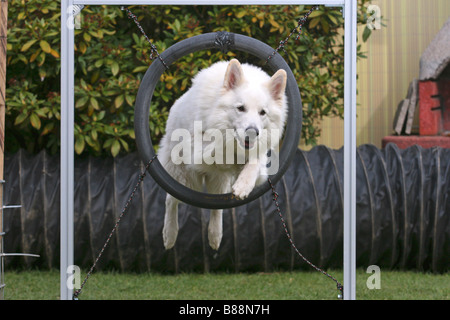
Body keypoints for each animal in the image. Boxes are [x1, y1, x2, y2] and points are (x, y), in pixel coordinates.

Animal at [158, 58, 288, 251]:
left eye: (262, 112)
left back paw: (215, 235)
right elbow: (218, 146)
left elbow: (255, 162)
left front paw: (243, 185)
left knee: (216, 207)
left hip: (218, 181)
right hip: (184, 177)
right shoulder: (199, 151)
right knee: (171, 200)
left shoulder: (260, 165)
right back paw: (169, 234)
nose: (252, 133)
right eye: (240, 108)